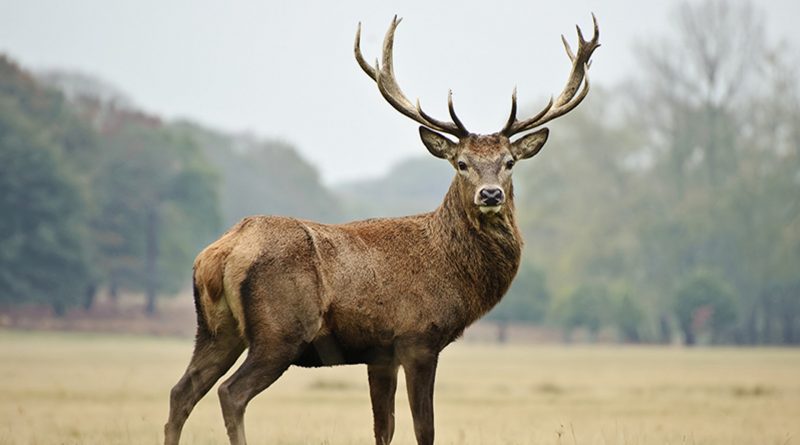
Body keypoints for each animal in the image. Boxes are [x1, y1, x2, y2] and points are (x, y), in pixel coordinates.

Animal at [164, 13, 600, 444]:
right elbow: (425, 428)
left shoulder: (379, 354)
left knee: (181, 391)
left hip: (216, 330)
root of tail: (221, 252)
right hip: (279, 331)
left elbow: (384, 428)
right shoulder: (418, 338)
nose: (490, 194)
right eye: (461, 163)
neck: (454, 272)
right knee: (230, 393)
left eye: (509, 162)